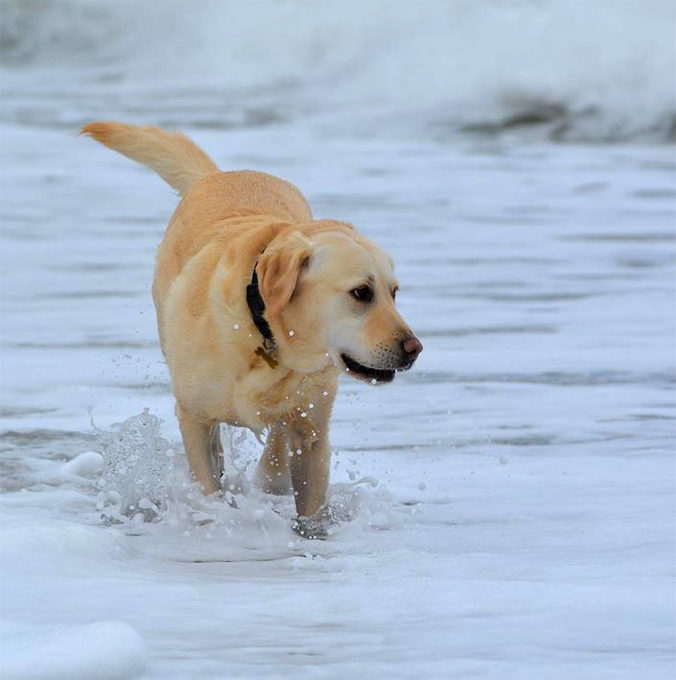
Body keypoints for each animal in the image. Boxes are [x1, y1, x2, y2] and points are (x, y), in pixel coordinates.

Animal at [80, 122, 422, 532]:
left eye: (394, 292)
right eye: (361, 292)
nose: (414, 348)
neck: (264, 332)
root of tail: (219, 175)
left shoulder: (313, 433)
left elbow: (310, 500)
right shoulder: (194, 418)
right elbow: (208, 484)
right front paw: (214, 520)